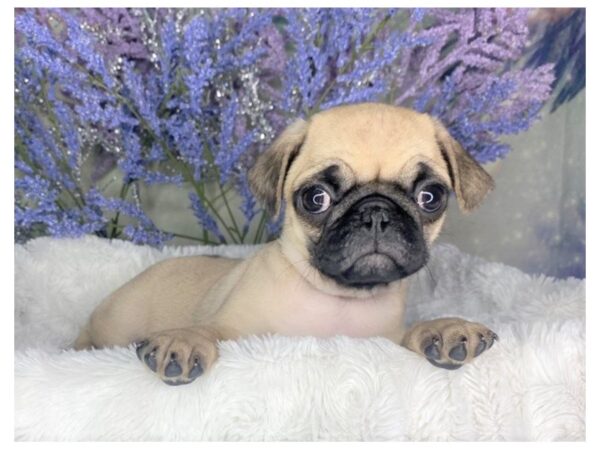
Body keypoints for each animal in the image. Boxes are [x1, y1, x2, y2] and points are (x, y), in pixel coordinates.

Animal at [74, 103, 496, 384]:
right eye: (316, 198)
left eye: (430, 197)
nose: (376, 213)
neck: (336, 298)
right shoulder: (235, 326)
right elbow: (209, 331)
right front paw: (184, 340)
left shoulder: (384, 339)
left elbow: (412, 331)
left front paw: (444, 328)